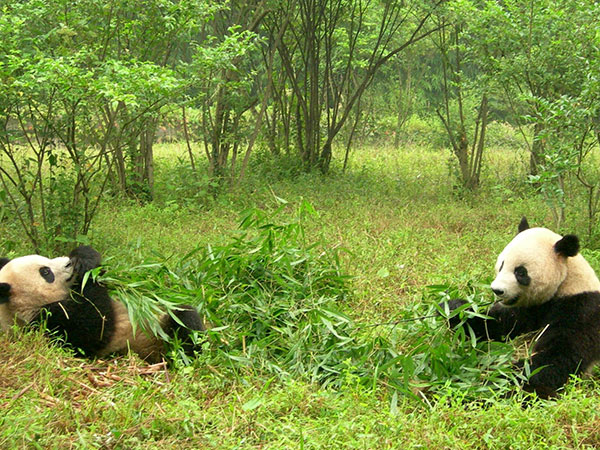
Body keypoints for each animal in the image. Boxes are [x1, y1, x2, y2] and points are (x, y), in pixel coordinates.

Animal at [0, 244, 205, 364]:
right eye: (45, 272)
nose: (68, 263)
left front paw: (81, 254)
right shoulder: (50, 322)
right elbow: (95, 326)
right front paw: (87, 265)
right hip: (151, 342)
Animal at [448, 218, 600, 398]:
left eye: (520, 272)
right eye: (501, 265)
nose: (497, 290)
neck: (566, 281)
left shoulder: (582, 309)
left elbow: (558, 358)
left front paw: (499, 379)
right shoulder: (531, 307)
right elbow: (497, 324)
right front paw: (454, 309)